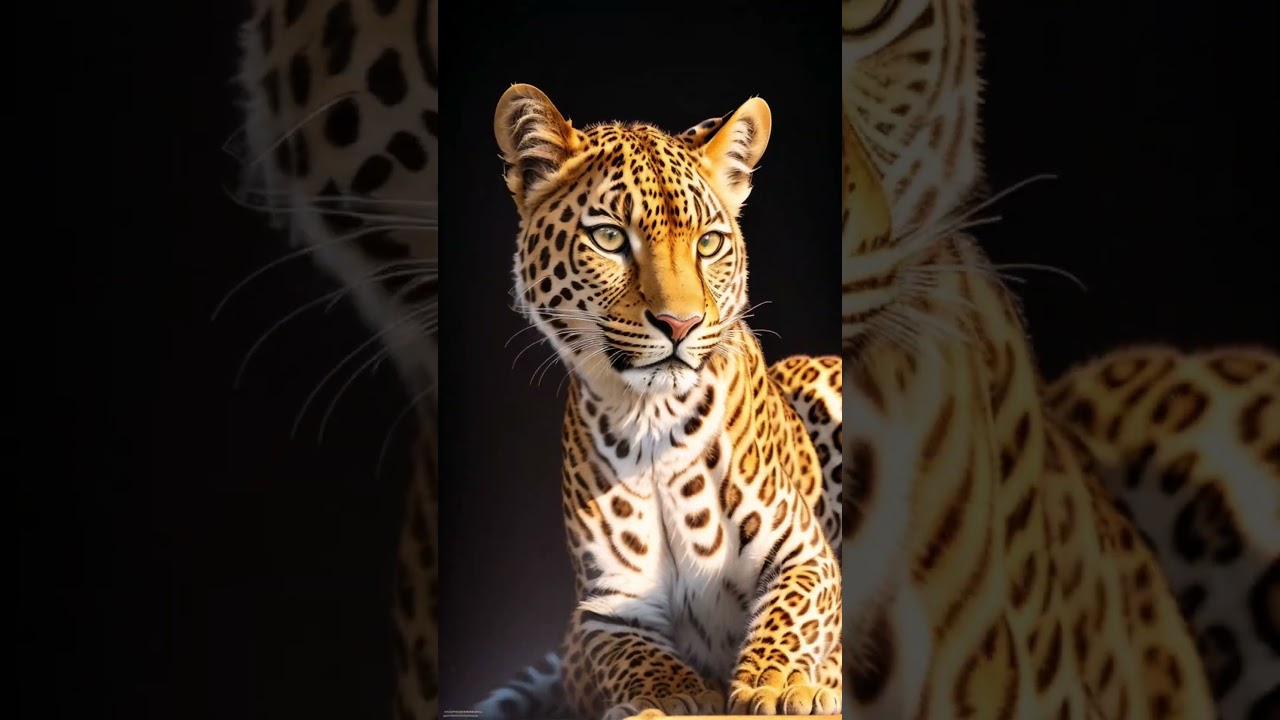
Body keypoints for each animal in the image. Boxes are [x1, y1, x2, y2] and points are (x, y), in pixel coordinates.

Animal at [474, 84, 844, 720]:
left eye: (709, 243)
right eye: (609, 238)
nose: (680, 323)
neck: (654, 420)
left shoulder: (806, 555)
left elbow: (790, 618)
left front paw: (776, 686)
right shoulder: (608, 606)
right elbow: (636, 657)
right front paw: (676, 698)